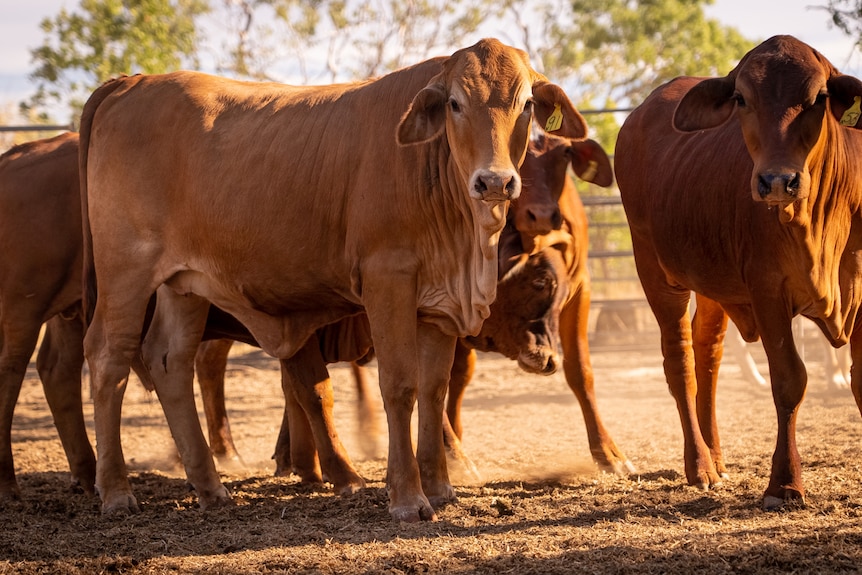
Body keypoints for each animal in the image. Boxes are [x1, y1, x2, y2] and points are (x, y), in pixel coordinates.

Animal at [77, 37, 592, 520]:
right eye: (455, 103)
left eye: (526, 104)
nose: (495, 182)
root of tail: (131, 82)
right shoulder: (388, 281)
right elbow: (400, 387)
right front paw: (408, 497)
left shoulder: (439, 304)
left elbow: (434, 390)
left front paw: (441, 487)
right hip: (126, 272)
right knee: (107, 356)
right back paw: (117, 491)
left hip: (184, 284)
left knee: (170, 361)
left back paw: (211, 488)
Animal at [616, 36, 862, 510]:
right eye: (742, 99)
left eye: (819, 98)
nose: (777, 181)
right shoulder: (768, 291)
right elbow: (789, 380)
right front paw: (784, 484)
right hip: (657, 272)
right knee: (680, 362)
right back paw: (700, 465)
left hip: (714, 287)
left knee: (707, 355)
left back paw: (716, 455)